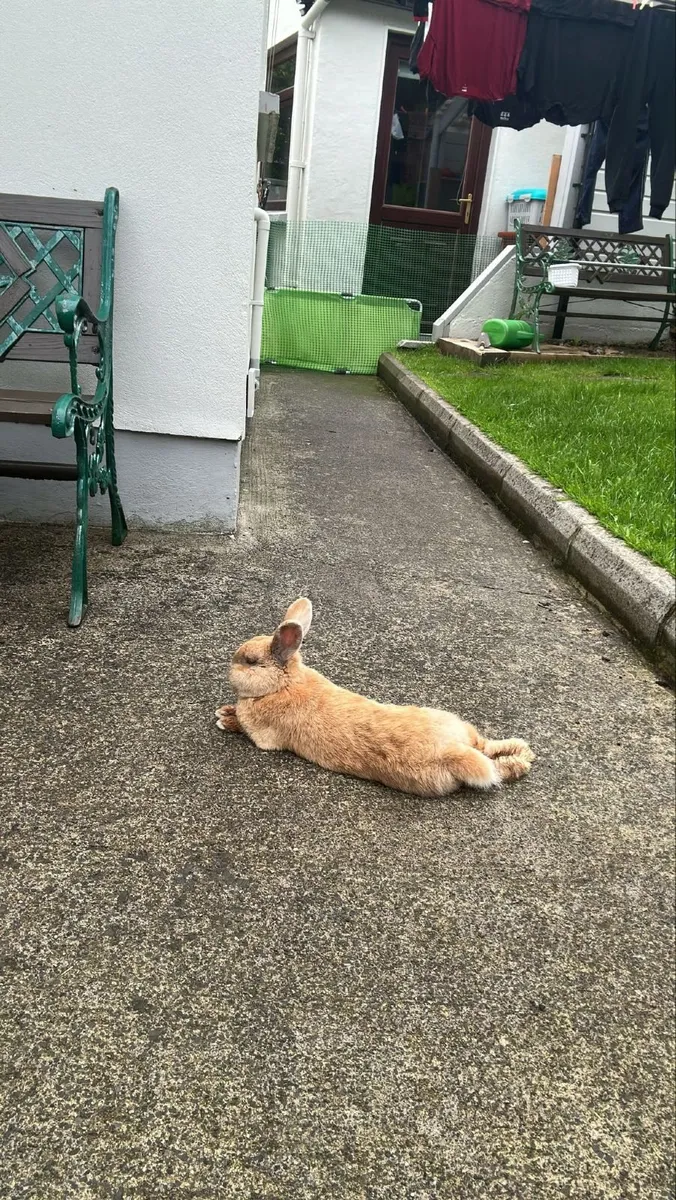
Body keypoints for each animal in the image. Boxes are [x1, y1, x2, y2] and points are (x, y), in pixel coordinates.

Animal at [215, 598, 534, 798]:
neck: (281, 685)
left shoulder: (264, 737)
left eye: (250, 662)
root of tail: (456, 749)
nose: (228, 669)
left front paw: (224, 718)